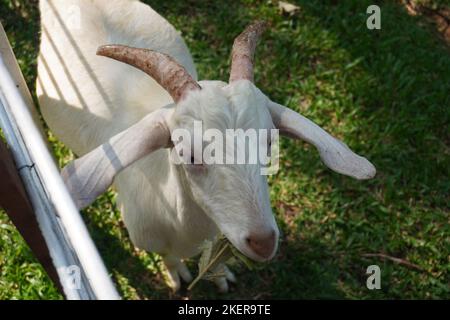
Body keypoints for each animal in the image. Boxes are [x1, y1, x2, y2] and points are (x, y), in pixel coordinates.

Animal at [37, 0, 376, 292]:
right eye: (187, 153)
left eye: (269, 143)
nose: (263, 242)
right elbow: (169, 258)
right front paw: (177, 276)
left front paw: (220, 274)